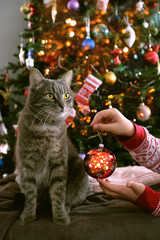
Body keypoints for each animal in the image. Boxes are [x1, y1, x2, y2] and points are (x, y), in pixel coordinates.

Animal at [15, 68, 92, 225]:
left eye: (66, 95)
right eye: (50, 95)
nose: (63, 106)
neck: (46, 127)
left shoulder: (58, 163)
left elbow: (58, 193)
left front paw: (60, 216)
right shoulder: (26, 165)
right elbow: (30, 194)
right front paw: (28, 215)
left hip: (79, 167)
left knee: (74, 199)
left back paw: (66, 207)